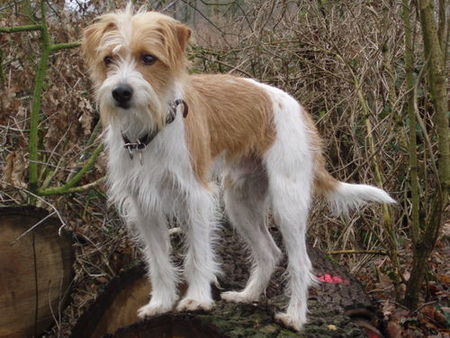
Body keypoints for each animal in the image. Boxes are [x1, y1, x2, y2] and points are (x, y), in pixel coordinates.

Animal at [82, 5, 396, 332]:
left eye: (147, 58)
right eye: (109, 59)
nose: (121, 92)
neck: (149, 128)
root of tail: (299, 110)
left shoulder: (195, 197)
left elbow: (197, 255)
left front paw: (196, 299)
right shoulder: (145, 207)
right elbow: (158, 261)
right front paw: (161, 303)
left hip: (287, 203)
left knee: (300, 263)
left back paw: (295, 317)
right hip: (240, 202)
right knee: (270, 253)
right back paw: (248, 296)